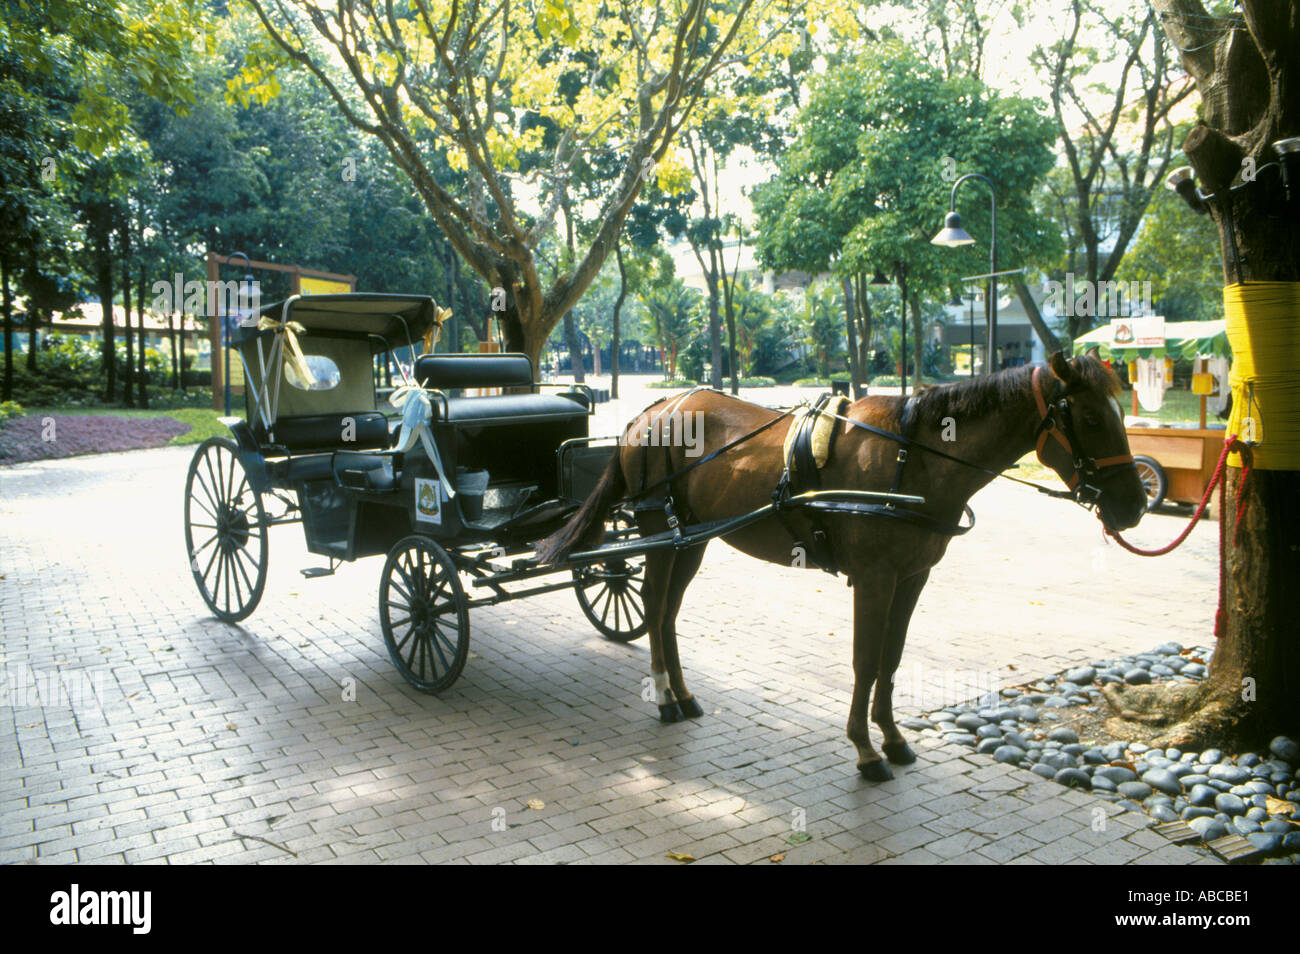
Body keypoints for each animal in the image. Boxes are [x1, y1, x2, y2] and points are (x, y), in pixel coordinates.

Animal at [533, 356, 1144, 779]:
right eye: (1091, 417)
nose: (1135, 505)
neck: (912, 457)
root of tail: (651, 412)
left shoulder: (912, 578)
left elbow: (891, 660)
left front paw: (892, 737)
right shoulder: (873, 578)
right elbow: (865, 660)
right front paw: (866, 750)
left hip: (693, 539)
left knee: (664, 615)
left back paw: (681, 695)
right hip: (659, 534)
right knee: (656, 606)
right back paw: (663, 698)